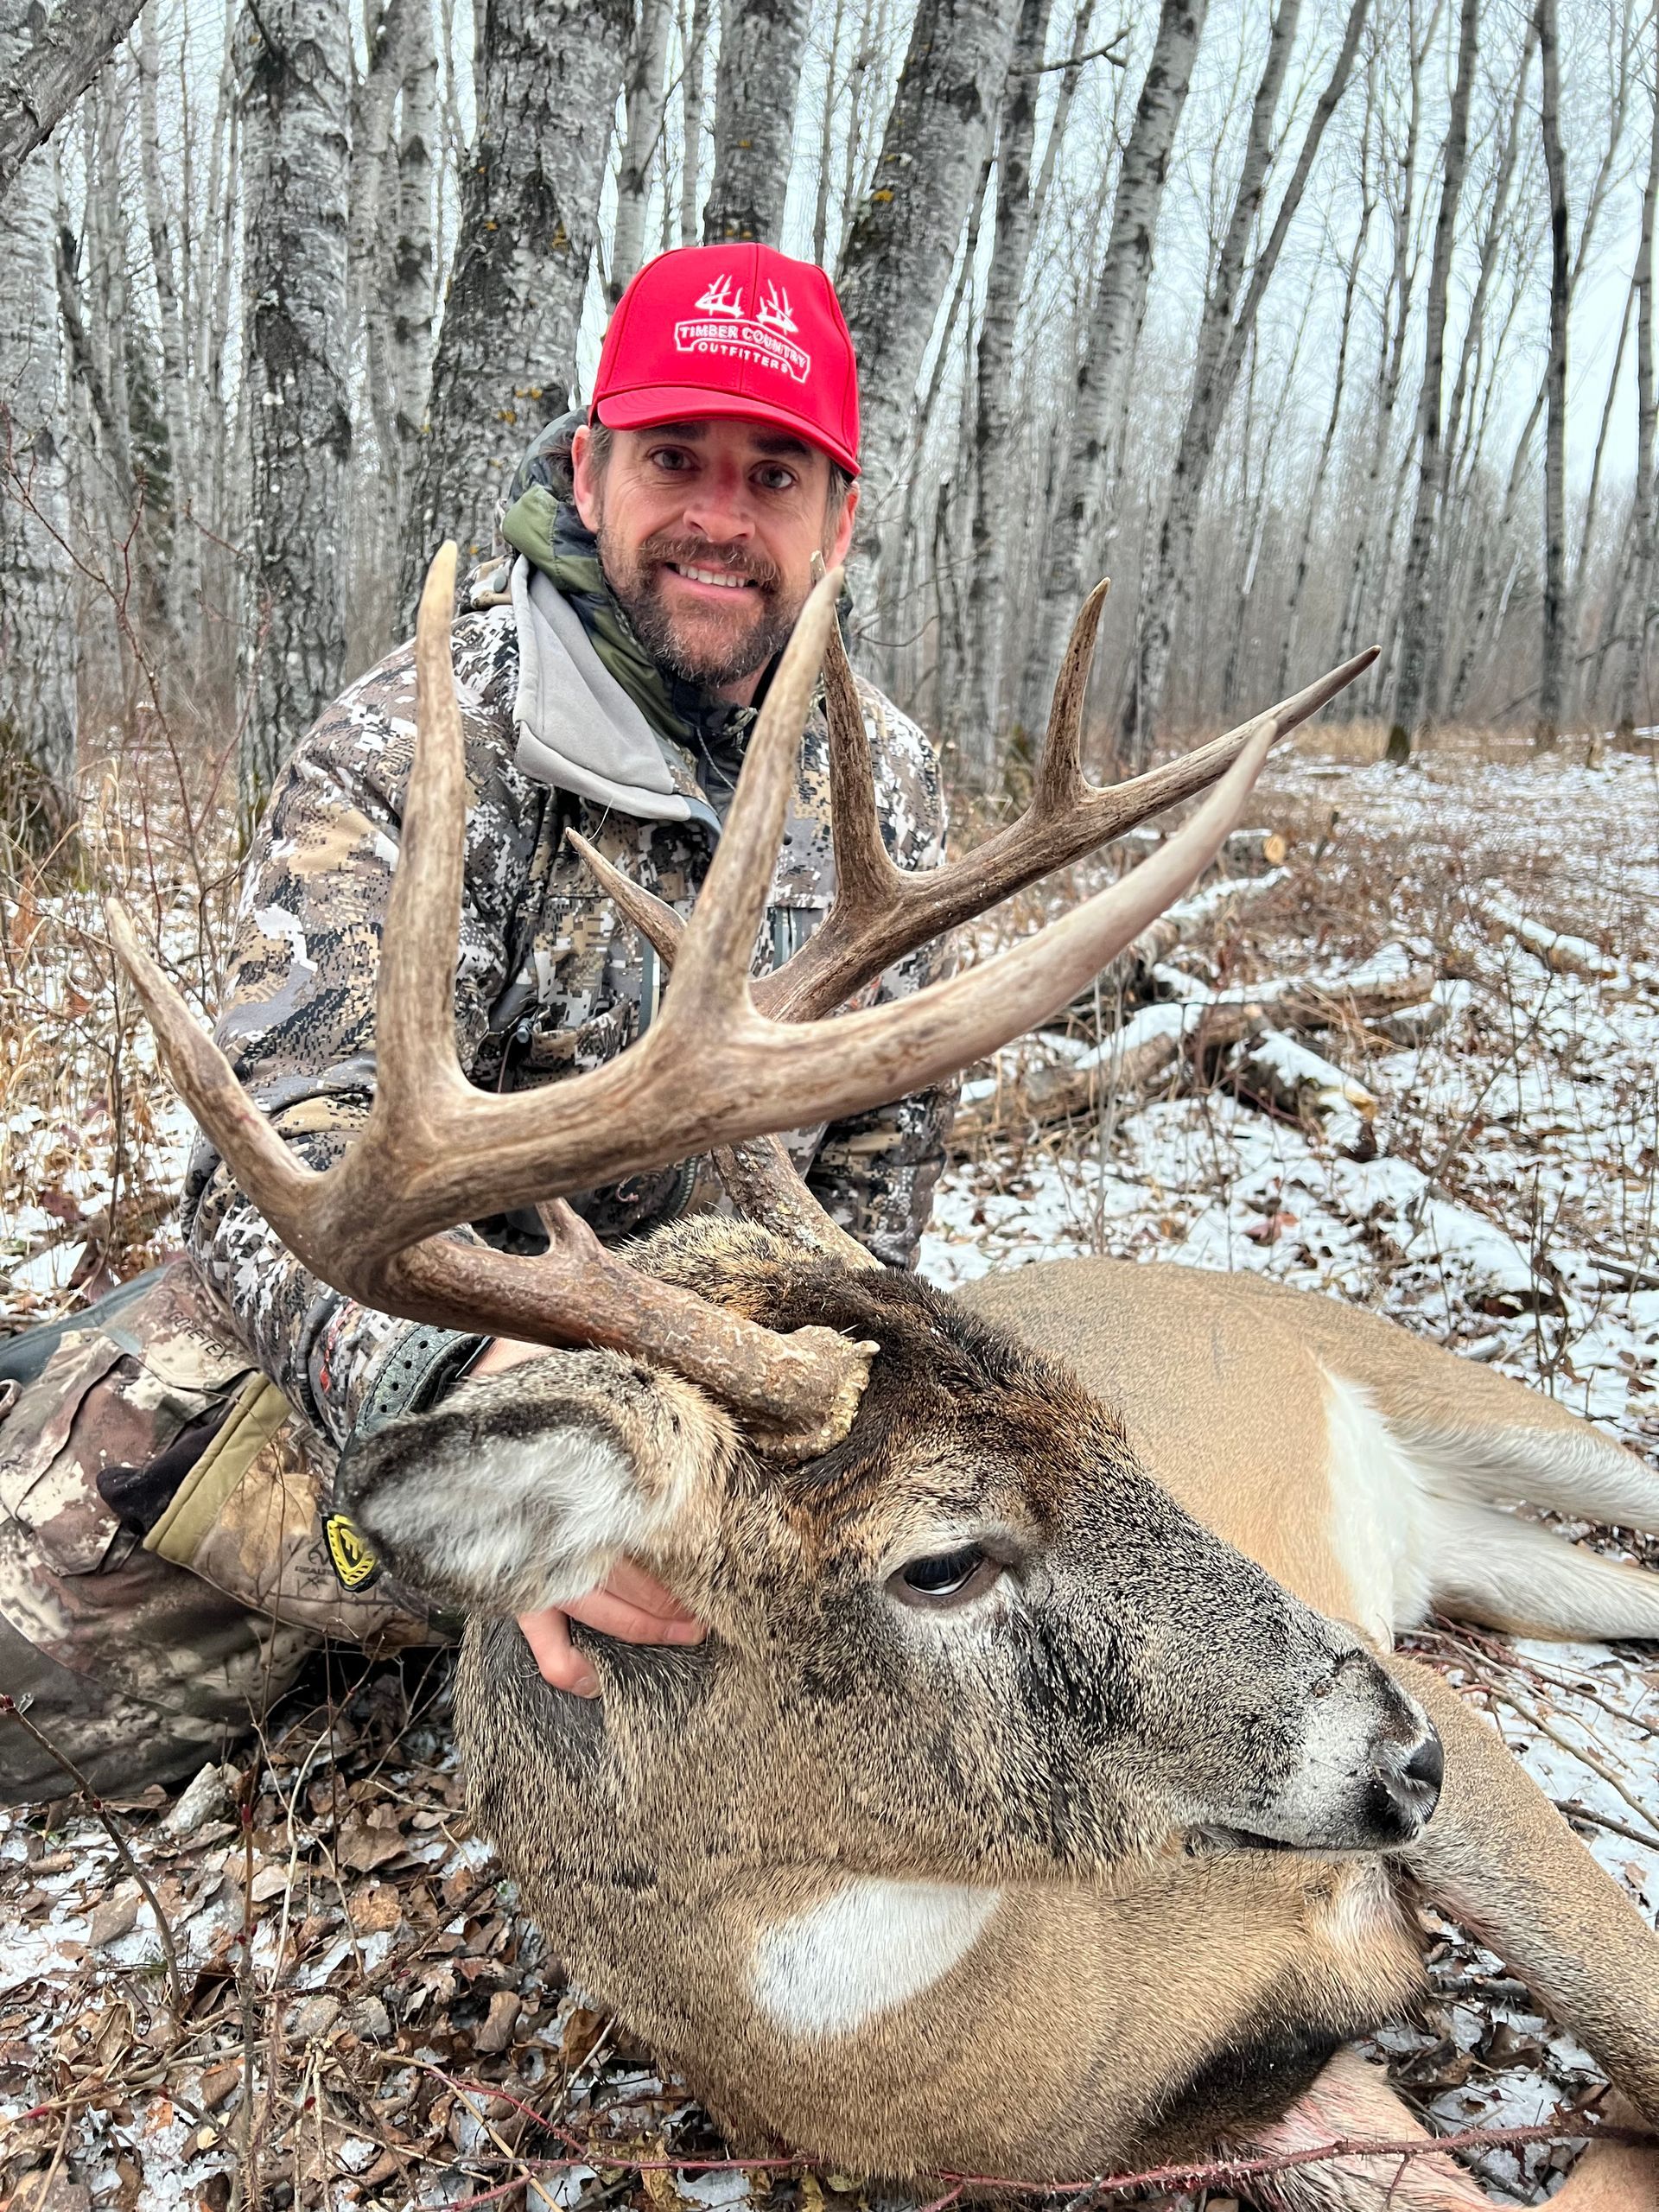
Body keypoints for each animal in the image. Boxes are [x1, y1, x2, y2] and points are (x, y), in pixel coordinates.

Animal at [110, 549, 1659, 2212]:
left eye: (1117, 1432)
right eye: (940, 1562)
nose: (1400, 1754)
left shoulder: (1459, 1755)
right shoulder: (1198, 2113)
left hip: (1476, 1412)